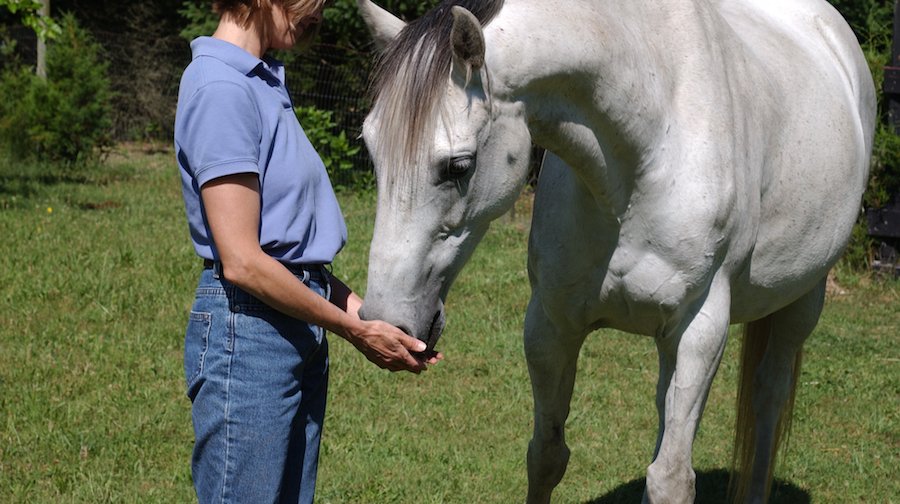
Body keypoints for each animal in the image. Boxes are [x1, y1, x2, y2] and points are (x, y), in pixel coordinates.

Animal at [355, 0, 875, 502]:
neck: (646, 152)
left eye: (459, 166)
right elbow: (546, 455)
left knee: (768, 401)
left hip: (801, 302)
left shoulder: (700, 329)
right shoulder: (551, 324)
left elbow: (671, 481)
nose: (385, 324)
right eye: (373, 151)